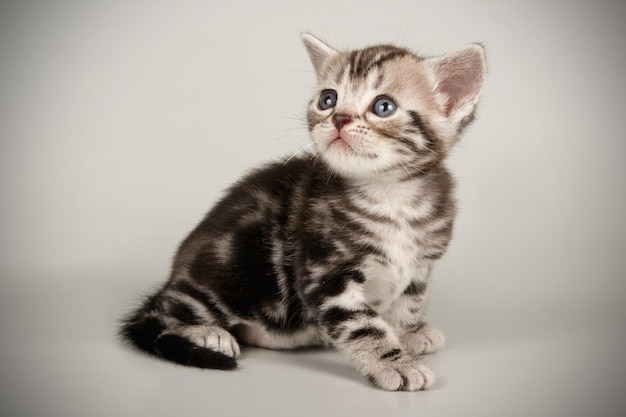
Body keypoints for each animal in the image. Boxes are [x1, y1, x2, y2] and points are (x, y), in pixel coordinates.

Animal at [119, 33, 486, 390]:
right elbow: (362, 327)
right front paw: (394, 364)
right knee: (167, 309)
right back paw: (206, 332)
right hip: (231, 272)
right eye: (328, 99)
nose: (339, 118)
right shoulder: (326, 275)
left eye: (384, 106)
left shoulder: (420, 266)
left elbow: (410, 303)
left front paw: (409, 333)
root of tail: (176, 277)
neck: (390, 195)